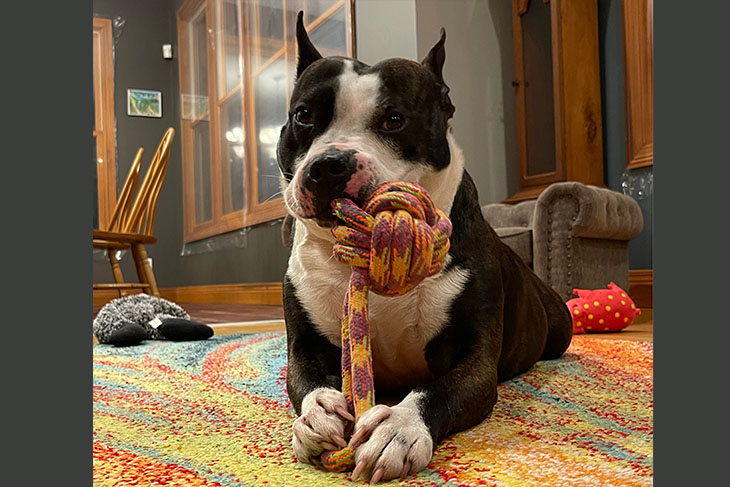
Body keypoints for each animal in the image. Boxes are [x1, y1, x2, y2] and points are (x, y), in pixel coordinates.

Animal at [276, 11, 572, 484]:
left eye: (395, 119)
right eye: (303, 115)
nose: (329, 165)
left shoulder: (476, 364)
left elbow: (435, 391)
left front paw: (398, 428)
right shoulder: (303, 344)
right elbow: (306, 380)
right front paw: (317, 415)